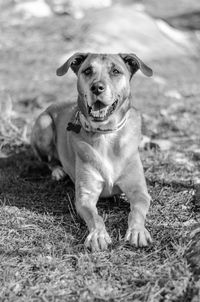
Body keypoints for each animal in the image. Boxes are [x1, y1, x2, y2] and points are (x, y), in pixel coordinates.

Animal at [31, 53, 153, 251]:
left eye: (115, 71)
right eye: (87, 70)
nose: (96, 87)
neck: (106, 134)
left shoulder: (139, 191)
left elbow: (137, 211)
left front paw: (137, 231)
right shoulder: (84, 197)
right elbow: (96, 217)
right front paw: (98, 235)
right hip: (44, 124)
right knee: (48, 160)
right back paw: (57, 171)